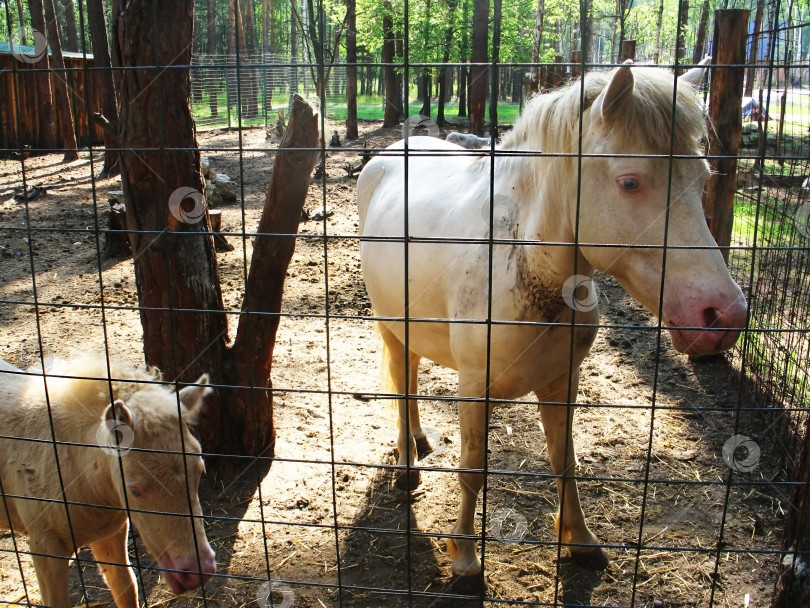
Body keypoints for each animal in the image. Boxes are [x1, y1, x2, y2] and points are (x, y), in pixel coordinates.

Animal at [0, 356, 215, 608]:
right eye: (134, 489)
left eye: (200, 471)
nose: (197, 571)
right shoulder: (45, 544)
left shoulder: (110, 532)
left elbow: (125, 587)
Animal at [356, 59, 748, 592]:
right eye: (630, 182)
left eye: (702, 177)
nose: (724, 316)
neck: (529, 264)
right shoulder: (474, 388)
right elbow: (473, 469)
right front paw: (466, 560)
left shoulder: (563, 381)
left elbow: (566, 462)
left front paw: (581, 541)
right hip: (389, 323)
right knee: (400, 383)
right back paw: (405, 463)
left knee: (412, 375)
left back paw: (417, 439)